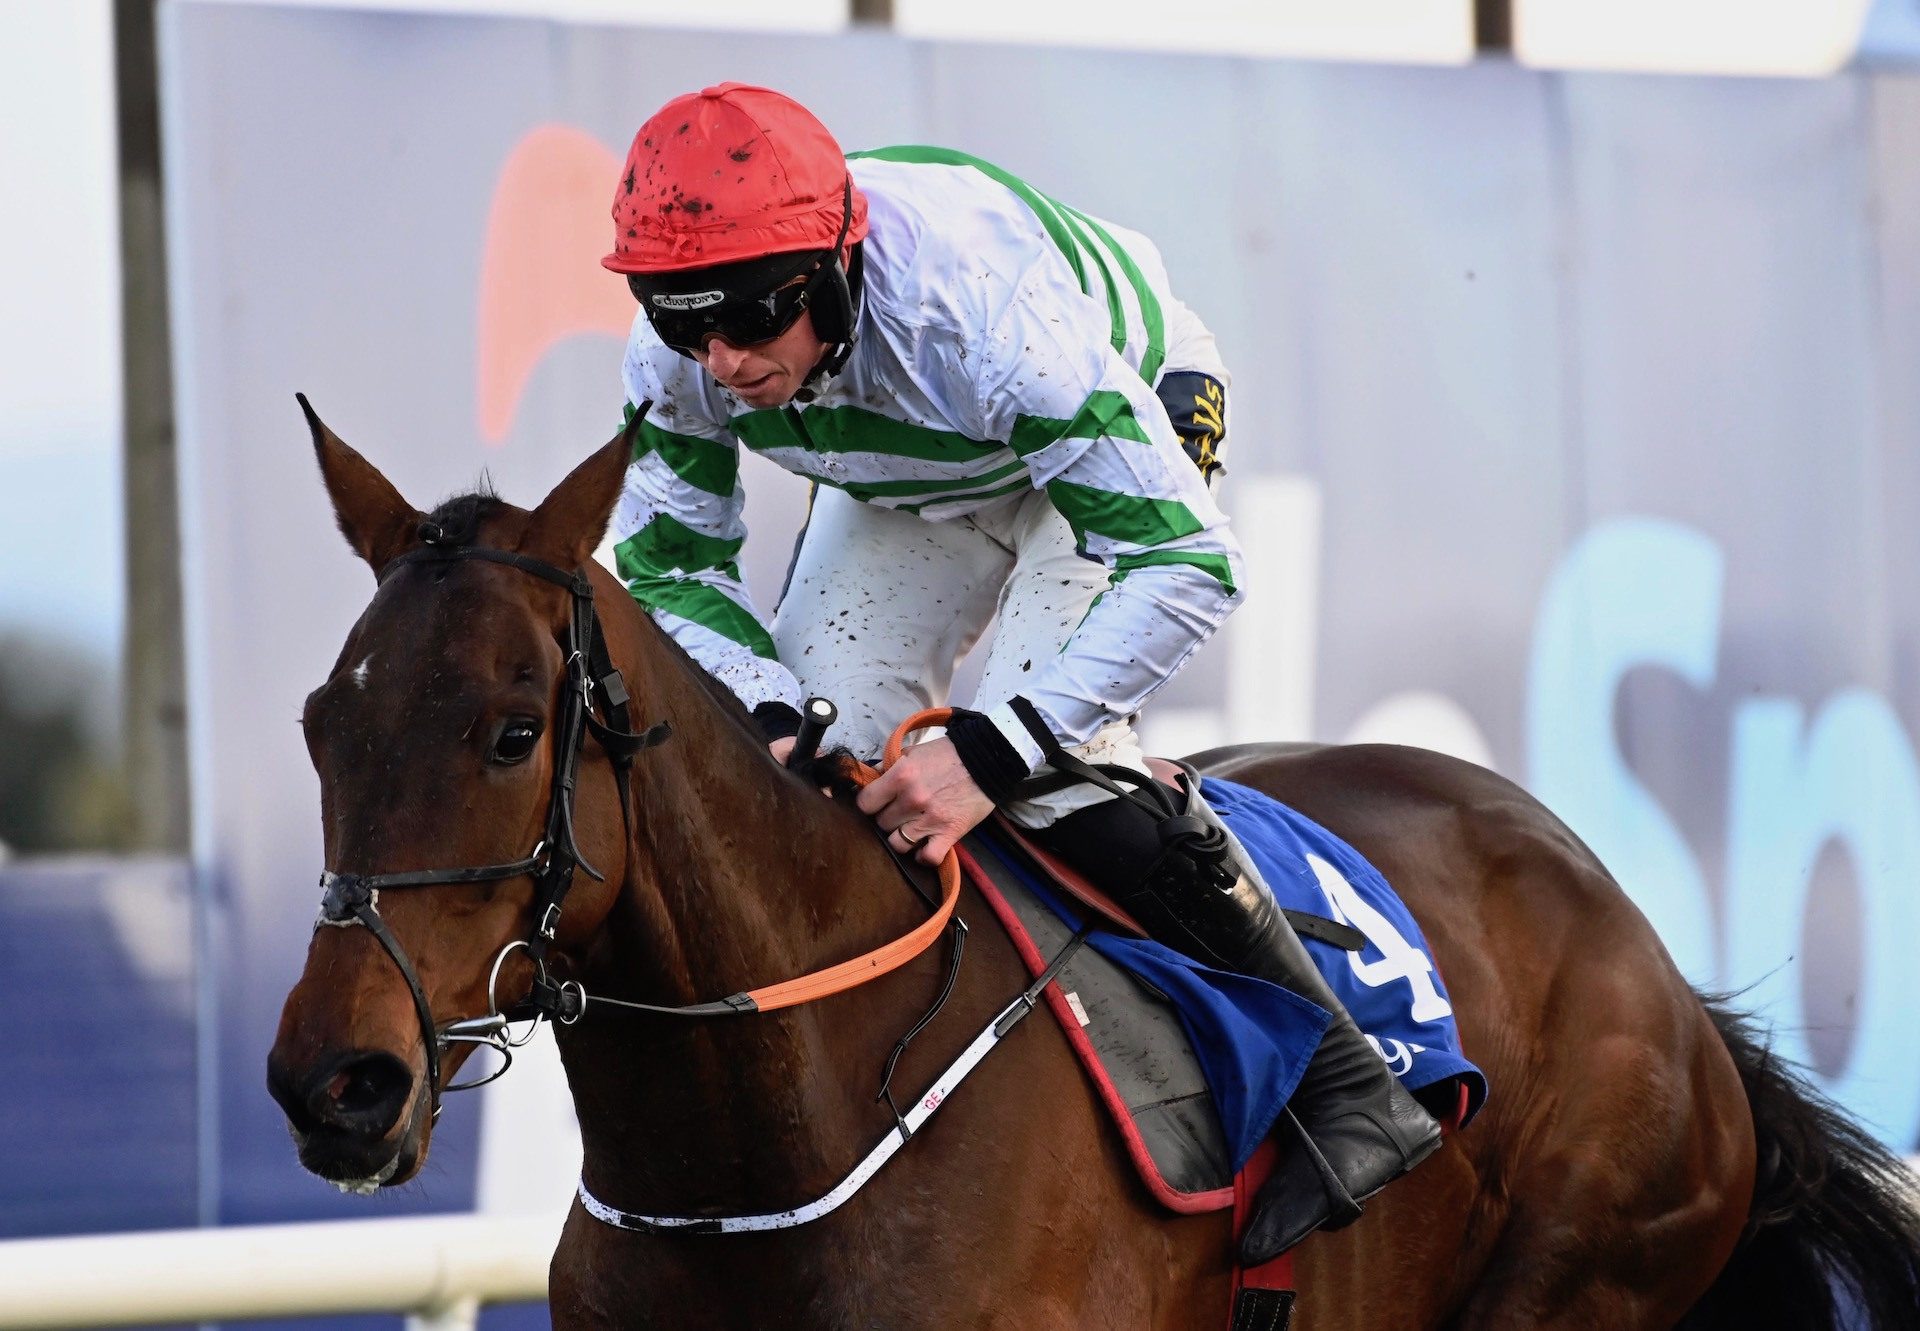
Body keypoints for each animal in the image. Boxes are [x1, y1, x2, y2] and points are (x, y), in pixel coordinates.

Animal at [266, 407, 1920, 1329]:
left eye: (510, 729)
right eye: (317, 722)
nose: (333, 1078)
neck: (767, 1151)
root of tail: (1669, 983)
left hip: (1585, 1260)